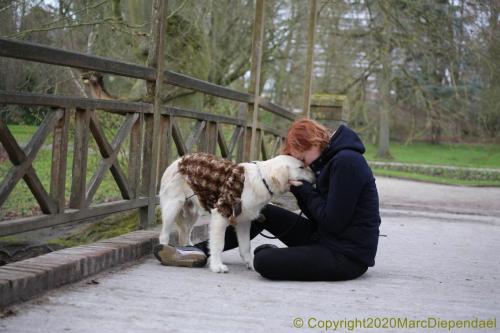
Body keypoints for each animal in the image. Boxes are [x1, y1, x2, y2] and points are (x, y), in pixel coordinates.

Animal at [158, 153, 314, 272]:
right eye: (301, 167)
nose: (315, 176)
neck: (261, 180)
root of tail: (178, 161)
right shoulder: (221, 215)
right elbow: (218, 244)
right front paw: (216, 265)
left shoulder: (244, 222)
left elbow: (245, 246)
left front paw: (251, 263)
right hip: (173, 206)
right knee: (164, 235)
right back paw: (165, 251)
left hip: (192, 213)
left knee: (185, 235)